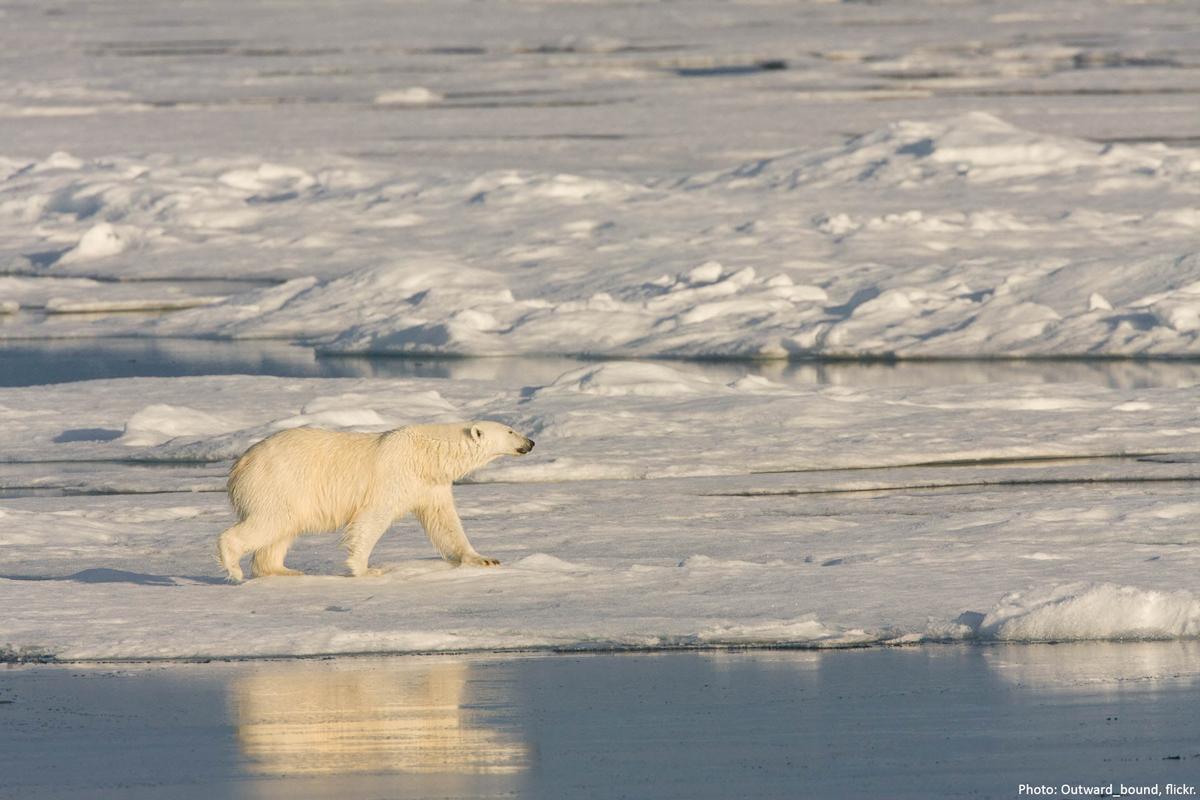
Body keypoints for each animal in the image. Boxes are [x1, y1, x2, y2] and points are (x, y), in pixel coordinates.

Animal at [216, 419, 535, 582]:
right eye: (510, 430)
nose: (531, 442)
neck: (427, 454)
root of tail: (241, 463)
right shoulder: (394, 477)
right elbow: (372, 518)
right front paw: (366, 569)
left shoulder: (431, 485)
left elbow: (445, 522)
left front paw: (484, 559)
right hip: (279, 482)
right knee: (271, 521)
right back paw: (234, 567)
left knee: (283, 530)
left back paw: (283, 570)